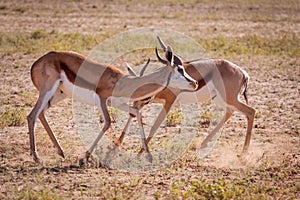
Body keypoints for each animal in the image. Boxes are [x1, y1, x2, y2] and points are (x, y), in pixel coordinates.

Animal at [27, 47, 198, 163]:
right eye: (180, 69)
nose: (195, 83)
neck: (123, 82)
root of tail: (37, 62)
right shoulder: (102, 100)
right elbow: (108, 122)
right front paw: (85, 157)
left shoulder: (117, 103)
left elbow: (137, 113)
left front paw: (149, 156)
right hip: (48, 91)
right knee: (31, 115)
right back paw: (36, 157)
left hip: (59, 94)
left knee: (40, 114)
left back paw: (61, 152)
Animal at [115, 36, 255, 156]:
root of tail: (244, 73)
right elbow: (134, 116)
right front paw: (117, 144)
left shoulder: (169, 102)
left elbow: (154, 126)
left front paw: (140, 153)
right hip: (221, 99)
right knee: (230, 111)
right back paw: (203, 144)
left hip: (229, 98)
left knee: (251, 111)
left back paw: (244, 151)